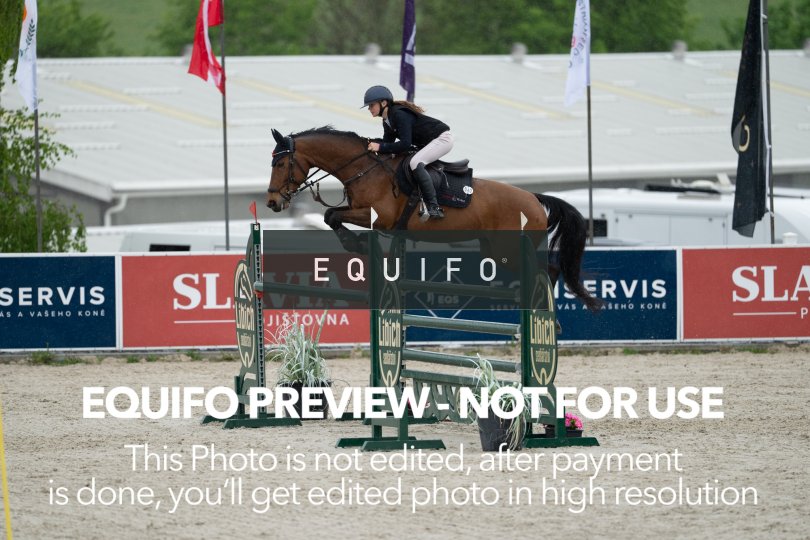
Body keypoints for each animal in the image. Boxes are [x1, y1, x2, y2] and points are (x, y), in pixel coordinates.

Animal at [266, 126, 601, 312]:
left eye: (281, 163)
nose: (271, 202)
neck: (364, 168)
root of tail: (534, 199)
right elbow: (330, 215)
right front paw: (355, 244)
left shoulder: (380, 217)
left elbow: (331, 214)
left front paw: (355, 242)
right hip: (495, 250)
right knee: (548, 269)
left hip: (509, 251)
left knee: (548, 270)